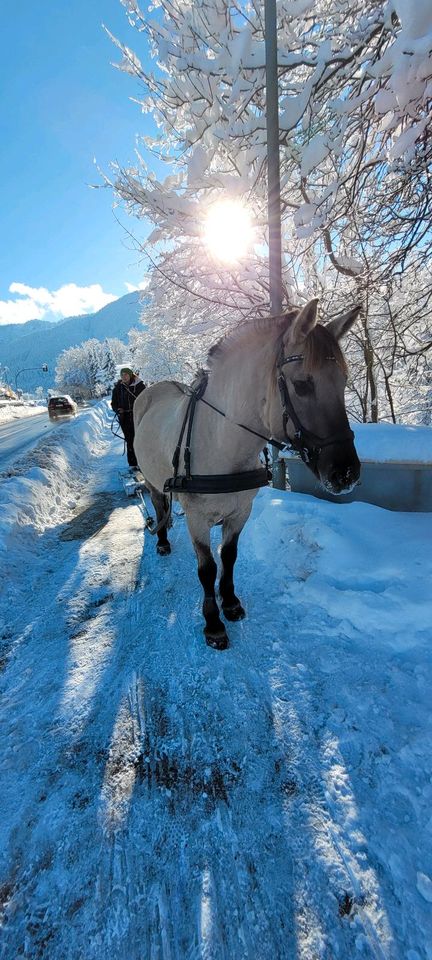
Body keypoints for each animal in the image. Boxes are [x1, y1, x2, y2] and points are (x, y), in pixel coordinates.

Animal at [133, 296, 360, 648]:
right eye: (302, 385)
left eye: (344, 382)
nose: (346, 472)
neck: (220, 441)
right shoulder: (198, 519)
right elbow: (207, 569)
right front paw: (213, 623)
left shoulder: (241, 512)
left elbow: (228, 557)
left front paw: (230, 603)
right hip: (152, 479)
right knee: (158, 505)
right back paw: (162, 540)